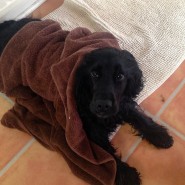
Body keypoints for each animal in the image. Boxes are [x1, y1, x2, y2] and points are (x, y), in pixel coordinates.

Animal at [0, 18, 173, 185]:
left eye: (119, 76)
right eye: (94, 74)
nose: (103, 105)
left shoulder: (121, 103)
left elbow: (139, 117)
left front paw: (159, 134)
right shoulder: (90, 131)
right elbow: (108, 156)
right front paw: (127, 175)